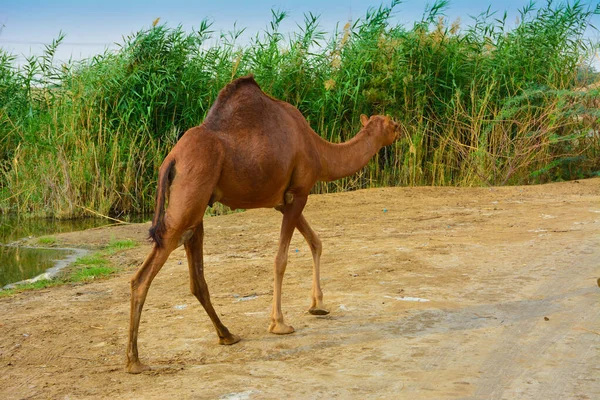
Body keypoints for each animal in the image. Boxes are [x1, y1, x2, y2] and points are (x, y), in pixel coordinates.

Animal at [125, 74, 400, 372]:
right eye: (391, 123)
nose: (401, 129)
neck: (317, 149)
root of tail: (171, 158)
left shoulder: (283, 201)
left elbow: (316, 242)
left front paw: (318, 304)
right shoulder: (299, 193)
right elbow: (281, 259)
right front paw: (279, 323)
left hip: (195, 209)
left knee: (196, 277)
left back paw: (227, 335)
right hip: (188, 197)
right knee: (143, 276)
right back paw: (134, 360)